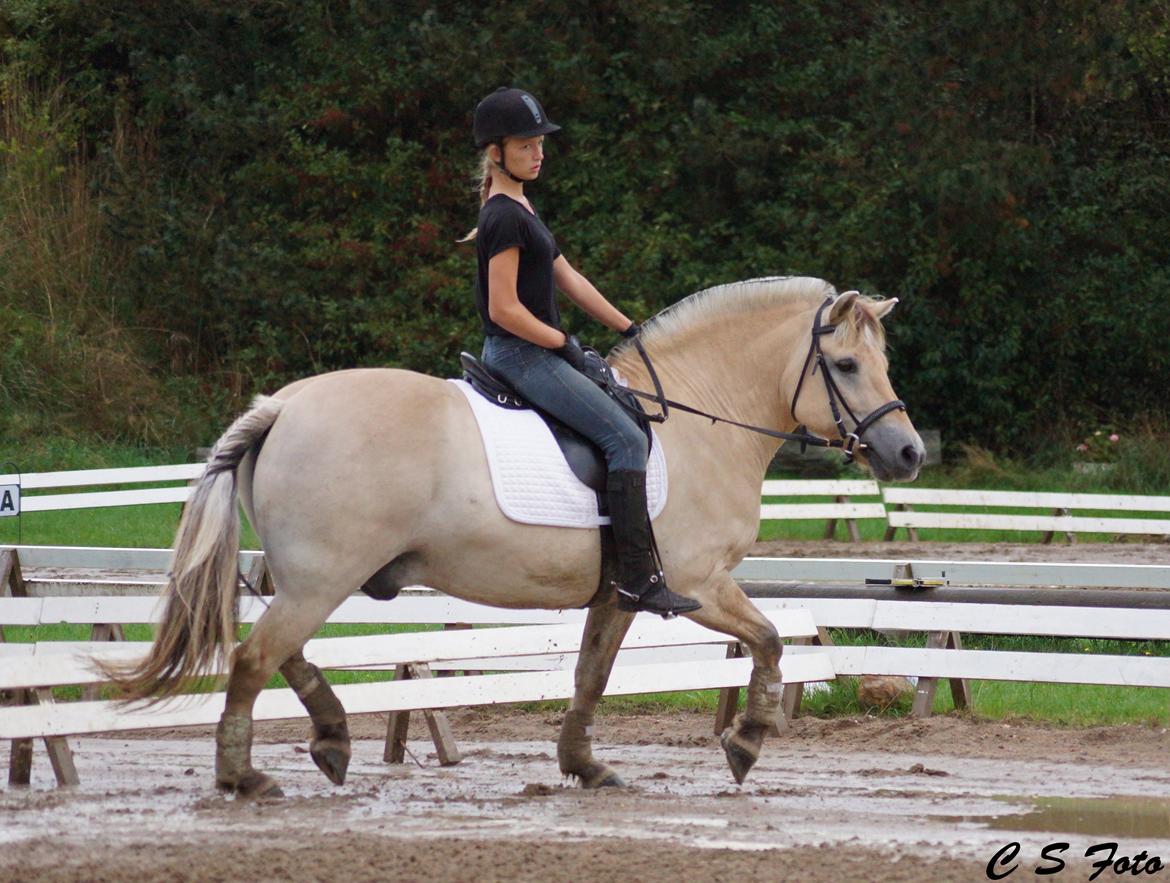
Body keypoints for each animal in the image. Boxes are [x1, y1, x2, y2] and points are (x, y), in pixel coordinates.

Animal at [109, 276, 926, 799]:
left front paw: (585, 766)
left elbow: (591, 675)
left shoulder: (623, 592)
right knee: (255, 658)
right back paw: (247, 775)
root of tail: (280, 407)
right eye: (846, 365)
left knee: (278, 653)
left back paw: (332, 738)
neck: (698, 419)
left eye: (883, 362)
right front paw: (748, 740)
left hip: (308, 575)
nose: (909, 454)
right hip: (321, 576)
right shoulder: (697, 584)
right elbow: (771, 640)